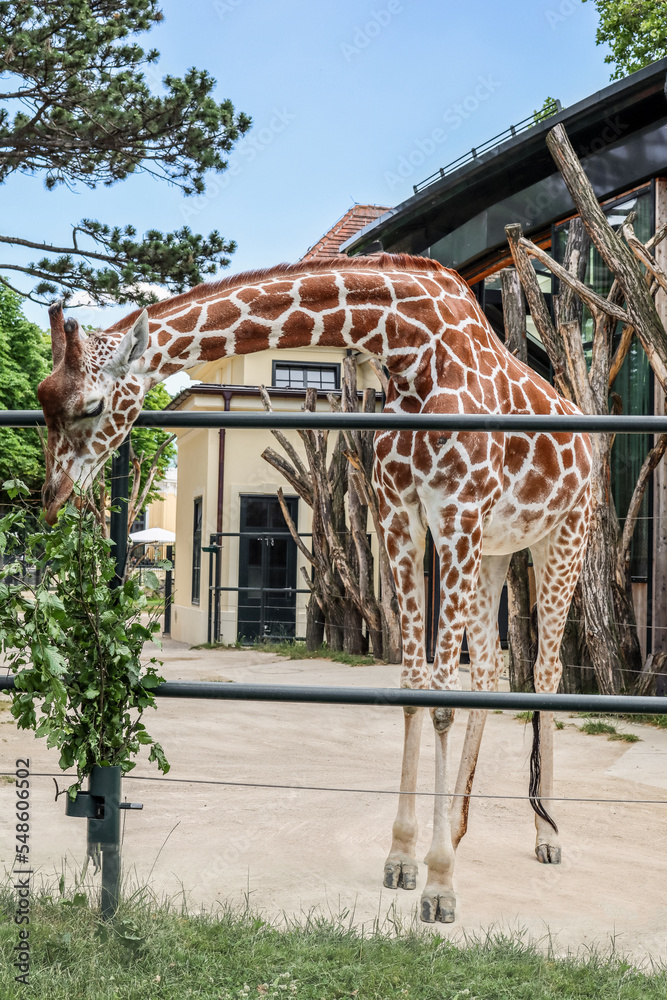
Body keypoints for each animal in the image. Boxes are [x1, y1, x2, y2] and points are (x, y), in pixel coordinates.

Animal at [37, 256, 588, 920]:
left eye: (91, 404)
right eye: (41, 400)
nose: (51, 498)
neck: (413, 351)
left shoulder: (455, 512)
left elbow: (443, 702)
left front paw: (439, 886)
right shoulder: (401, 515)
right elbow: (414, 688)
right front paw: (404, 857)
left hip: (563, 533)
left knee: (547, 669)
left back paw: (549, 835)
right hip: (498, 549)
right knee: (487, 668)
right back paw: (457, 827)